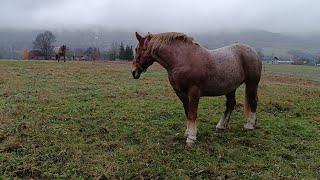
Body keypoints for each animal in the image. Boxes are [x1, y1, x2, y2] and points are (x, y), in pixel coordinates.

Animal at [131, 31, 262, 146]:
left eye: (137, 49)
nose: (133, 72)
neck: (182, 59)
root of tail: (254, 52)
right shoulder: (181, 94)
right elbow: (187, 113)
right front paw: (188, 132)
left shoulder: (193, 93)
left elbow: (192, 114)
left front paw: (191, 138)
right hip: (230, 87)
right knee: (230, 104)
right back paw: (221, 126)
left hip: (252, 84)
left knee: (253, 102)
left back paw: (249, 125)